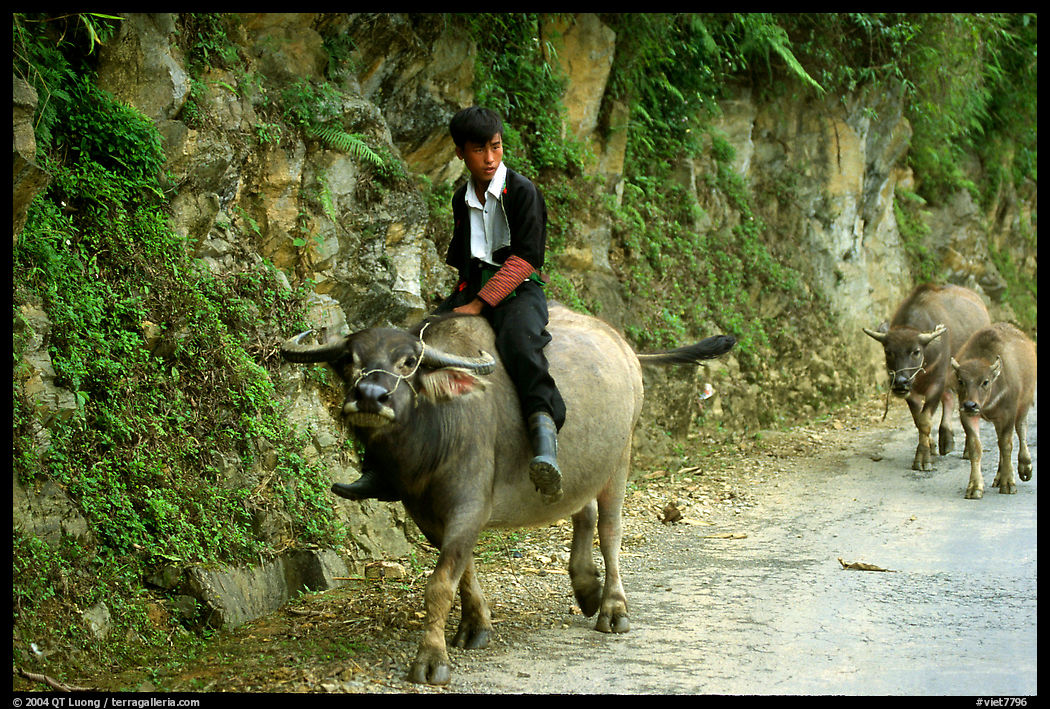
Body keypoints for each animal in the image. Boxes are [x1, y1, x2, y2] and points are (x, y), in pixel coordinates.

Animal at [282, 303, 735, 685]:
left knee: (610, 531)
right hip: (582, 466)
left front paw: (431, 660)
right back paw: (586, 587)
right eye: (348, 360)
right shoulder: (425, 512)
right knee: (583, 510)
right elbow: (463, 571)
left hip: (620, 457)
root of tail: (624, 348)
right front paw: (475, 626)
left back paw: (613, 608)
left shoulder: (469, 505)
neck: (434, 431)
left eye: (408, 361)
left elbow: (440, 584)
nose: (371, 396)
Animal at [863, 284, 990, 471]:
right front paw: (930, 447)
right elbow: (919, 420)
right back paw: (946, 439)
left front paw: (923, 458)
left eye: (916, 351)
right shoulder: (912, 391)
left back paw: (967, 449)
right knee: (949, 398)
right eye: (888, 351)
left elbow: (925, 420)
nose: (900, 383)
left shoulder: (937, 383)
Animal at [951, 323, 1037, 499]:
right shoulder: (967, 415)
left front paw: (1008, 483)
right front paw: (975, 487)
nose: (970, 405)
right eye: (961, 381)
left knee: (1021, 428)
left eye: (985, 381)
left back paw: (1025, 467)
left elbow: (1007, 445)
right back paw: (998, 477)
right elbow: (975, 447)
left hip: (1025, 402)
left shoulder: (1008, 413)